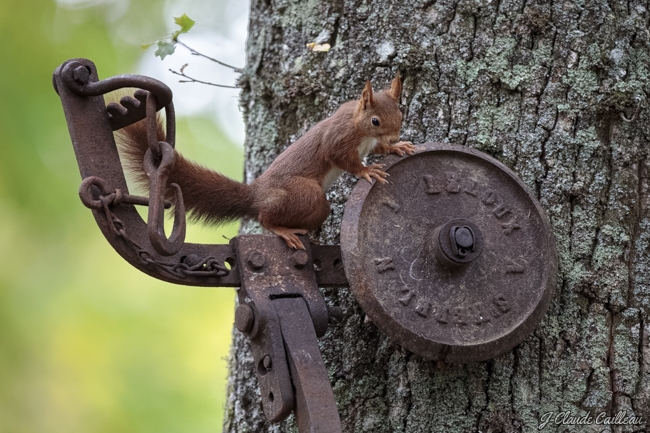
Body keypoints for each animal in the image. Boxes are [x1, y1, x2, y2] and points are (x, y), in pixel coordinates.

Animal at [117, 74, 416, 248]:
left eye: (401, 115)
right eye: (375, 120)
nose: (395, 135)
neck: (358, 124)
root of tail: (256, 195)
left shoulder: (371, 142)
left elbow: (380, 147)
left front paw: (398, 147)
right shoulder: (338, 139)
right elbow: (342, 158)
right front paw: (367, 170)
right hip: (304, 193)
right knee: (265, 217)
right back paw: (282, 230)